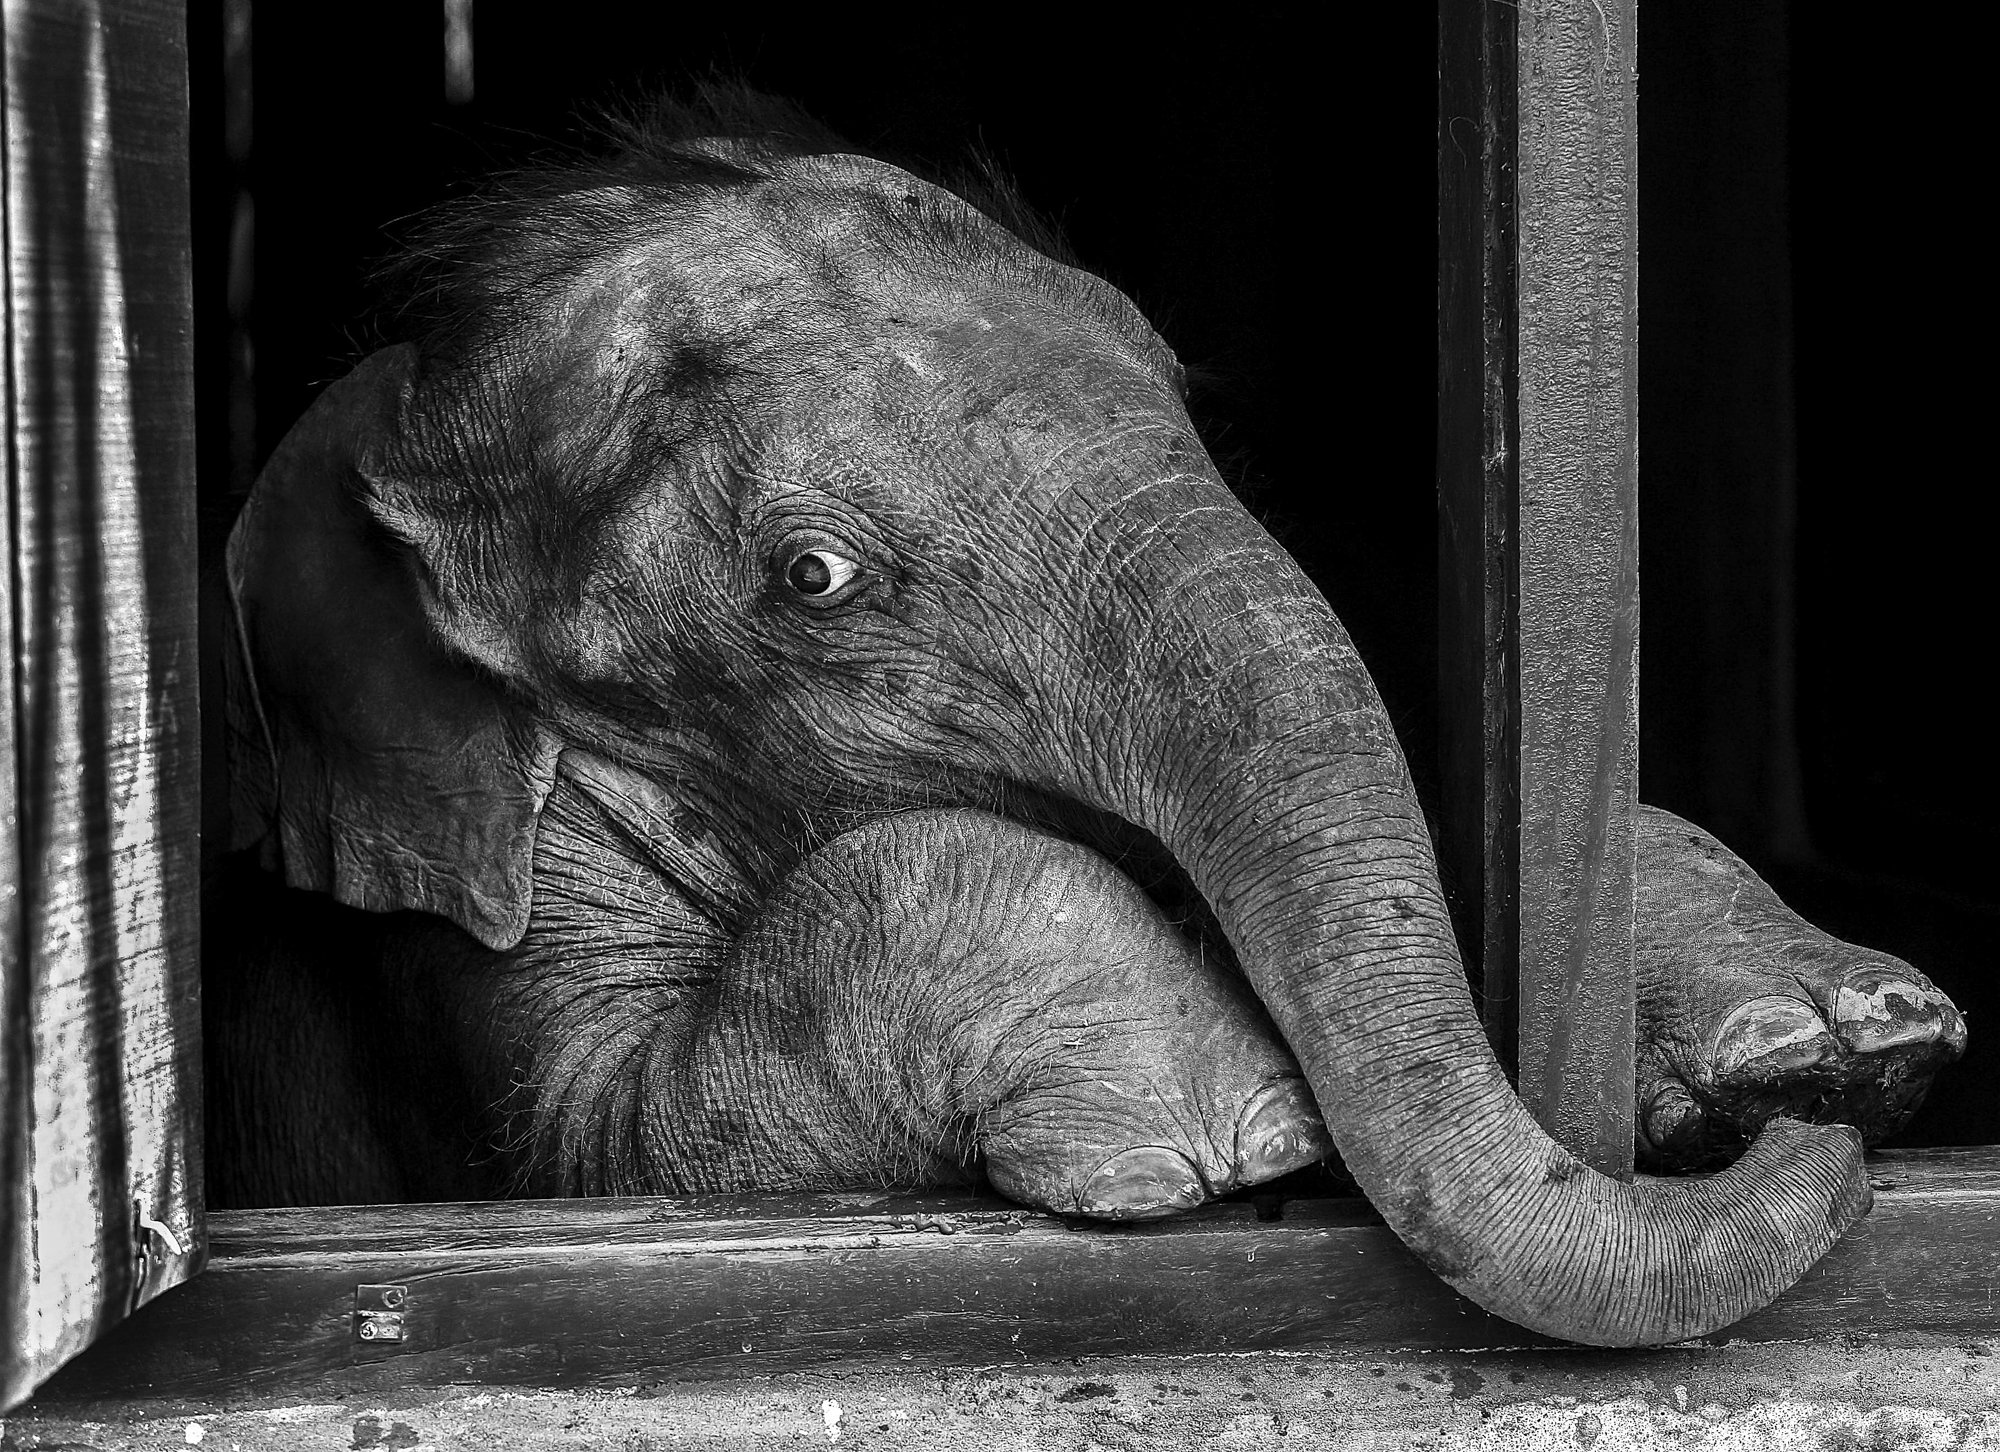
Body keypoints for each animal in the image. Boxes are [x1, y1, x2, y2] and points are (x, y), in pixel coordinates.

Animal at [209, 89, 1966, 1346]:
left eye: (1194, 412)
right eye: (815, 576)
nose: (1818, 1145)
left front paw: (1821, 1047)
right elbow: (614, 1144)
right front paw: (1222, 1127)